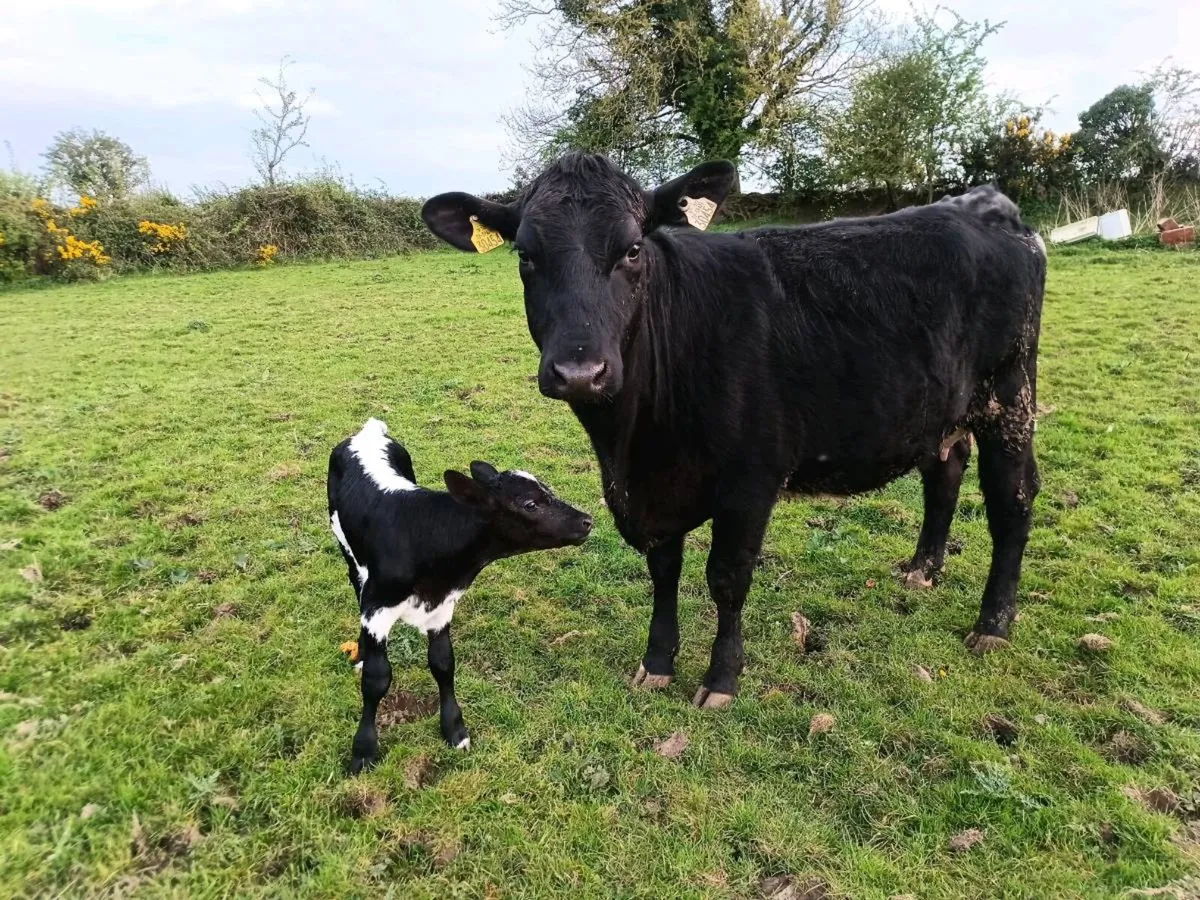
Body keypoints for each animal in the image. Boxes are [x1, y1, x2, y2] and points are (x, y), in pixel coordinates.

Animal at [328, 418, 593, 771]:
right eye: (531, 504)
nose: (587, 520)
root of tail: (368, 432)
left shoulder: (442, 607)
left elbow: (443, 663)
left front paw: (454, 729)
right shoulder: (376, 608)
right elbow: (376, 678)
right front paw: (363, 750)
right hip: (348, 554)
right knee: (354, 581)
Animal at [421, 153, 1046, 709]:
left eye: (632, 249)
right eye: (526, 255)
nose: (580, 372)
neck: (633, 444)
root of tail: (984, 204)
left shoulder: (751, 480)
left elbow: (726, 578)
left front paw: (721, 679)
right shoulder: (651, 493)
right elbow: (663, 571)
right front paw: (656, 663)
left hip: (1010, 397)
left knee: (1012, 500)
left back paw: (992, 625)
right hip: (943, 409)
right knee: (945, 473)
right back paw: (922, 570)